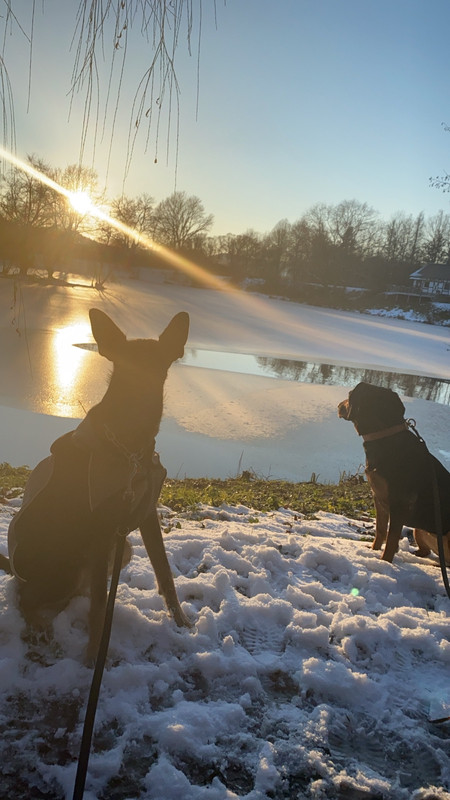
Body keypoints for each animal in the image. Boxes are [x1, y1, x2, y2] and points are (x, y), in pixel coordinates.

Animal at [0, 310, 190, 660]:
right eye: (125, 369)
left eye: (157, 367)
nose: (139, 399)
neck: (131, 449)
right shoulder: (102, 527)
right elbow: (102, 601)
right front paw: (92, 656)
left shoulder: (146, 513)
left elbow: (165, 572)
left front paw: (181, 621)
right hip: (71, 560)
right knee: (25, 598)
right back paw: (42, 627)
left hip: (122, 548)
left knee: (75, 594)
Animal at [338, 380, 450, 564]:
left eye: (349, 394)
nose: (339, 405)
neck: (384, 436)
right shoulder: (379, 498)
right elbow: (381, 530)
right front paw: (373, 551)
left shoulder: (399, 504)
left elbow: (391, 539)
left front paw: (384, 562)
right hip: (419, 530)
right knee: (426, 551)